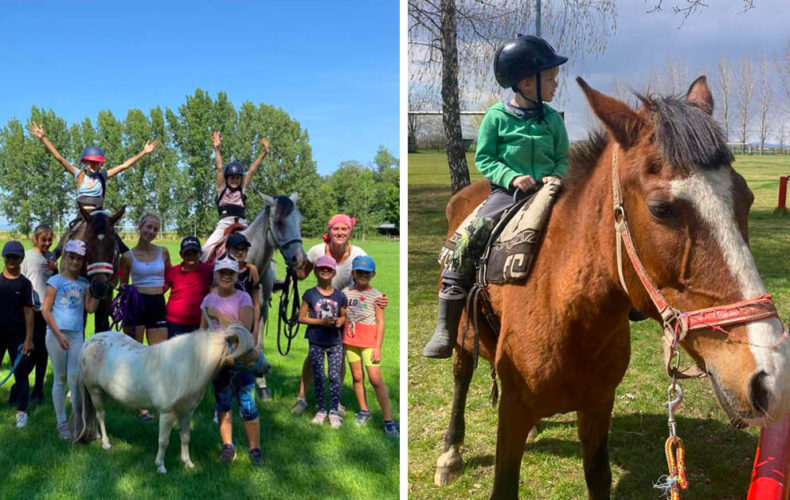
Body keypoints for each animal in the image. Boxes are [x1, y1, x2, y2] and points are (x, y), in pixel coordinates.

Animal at [72, 324, 270, 472]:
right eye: (248, 348)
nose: (267, 367)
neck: (185, 366)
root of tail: (89, 342)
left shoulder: (187, 412)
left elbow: (185, 437)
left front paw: (188, 463)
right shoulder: (167, 413)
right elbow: (163, 441)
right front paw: (161, 466)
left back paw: (97, 436)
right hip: (95, 391)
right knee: (101, 415)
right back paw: (105, 443)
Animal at [434, 76, 790, 498]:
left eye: (747, 198)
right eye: (660, 209)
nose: (770, 380)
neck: (567, 312)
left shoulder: (598, 404)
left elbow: (598, 476)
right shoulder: (513, 410)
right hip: (461, 335)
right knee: (461, 374)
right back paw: (450, 452)